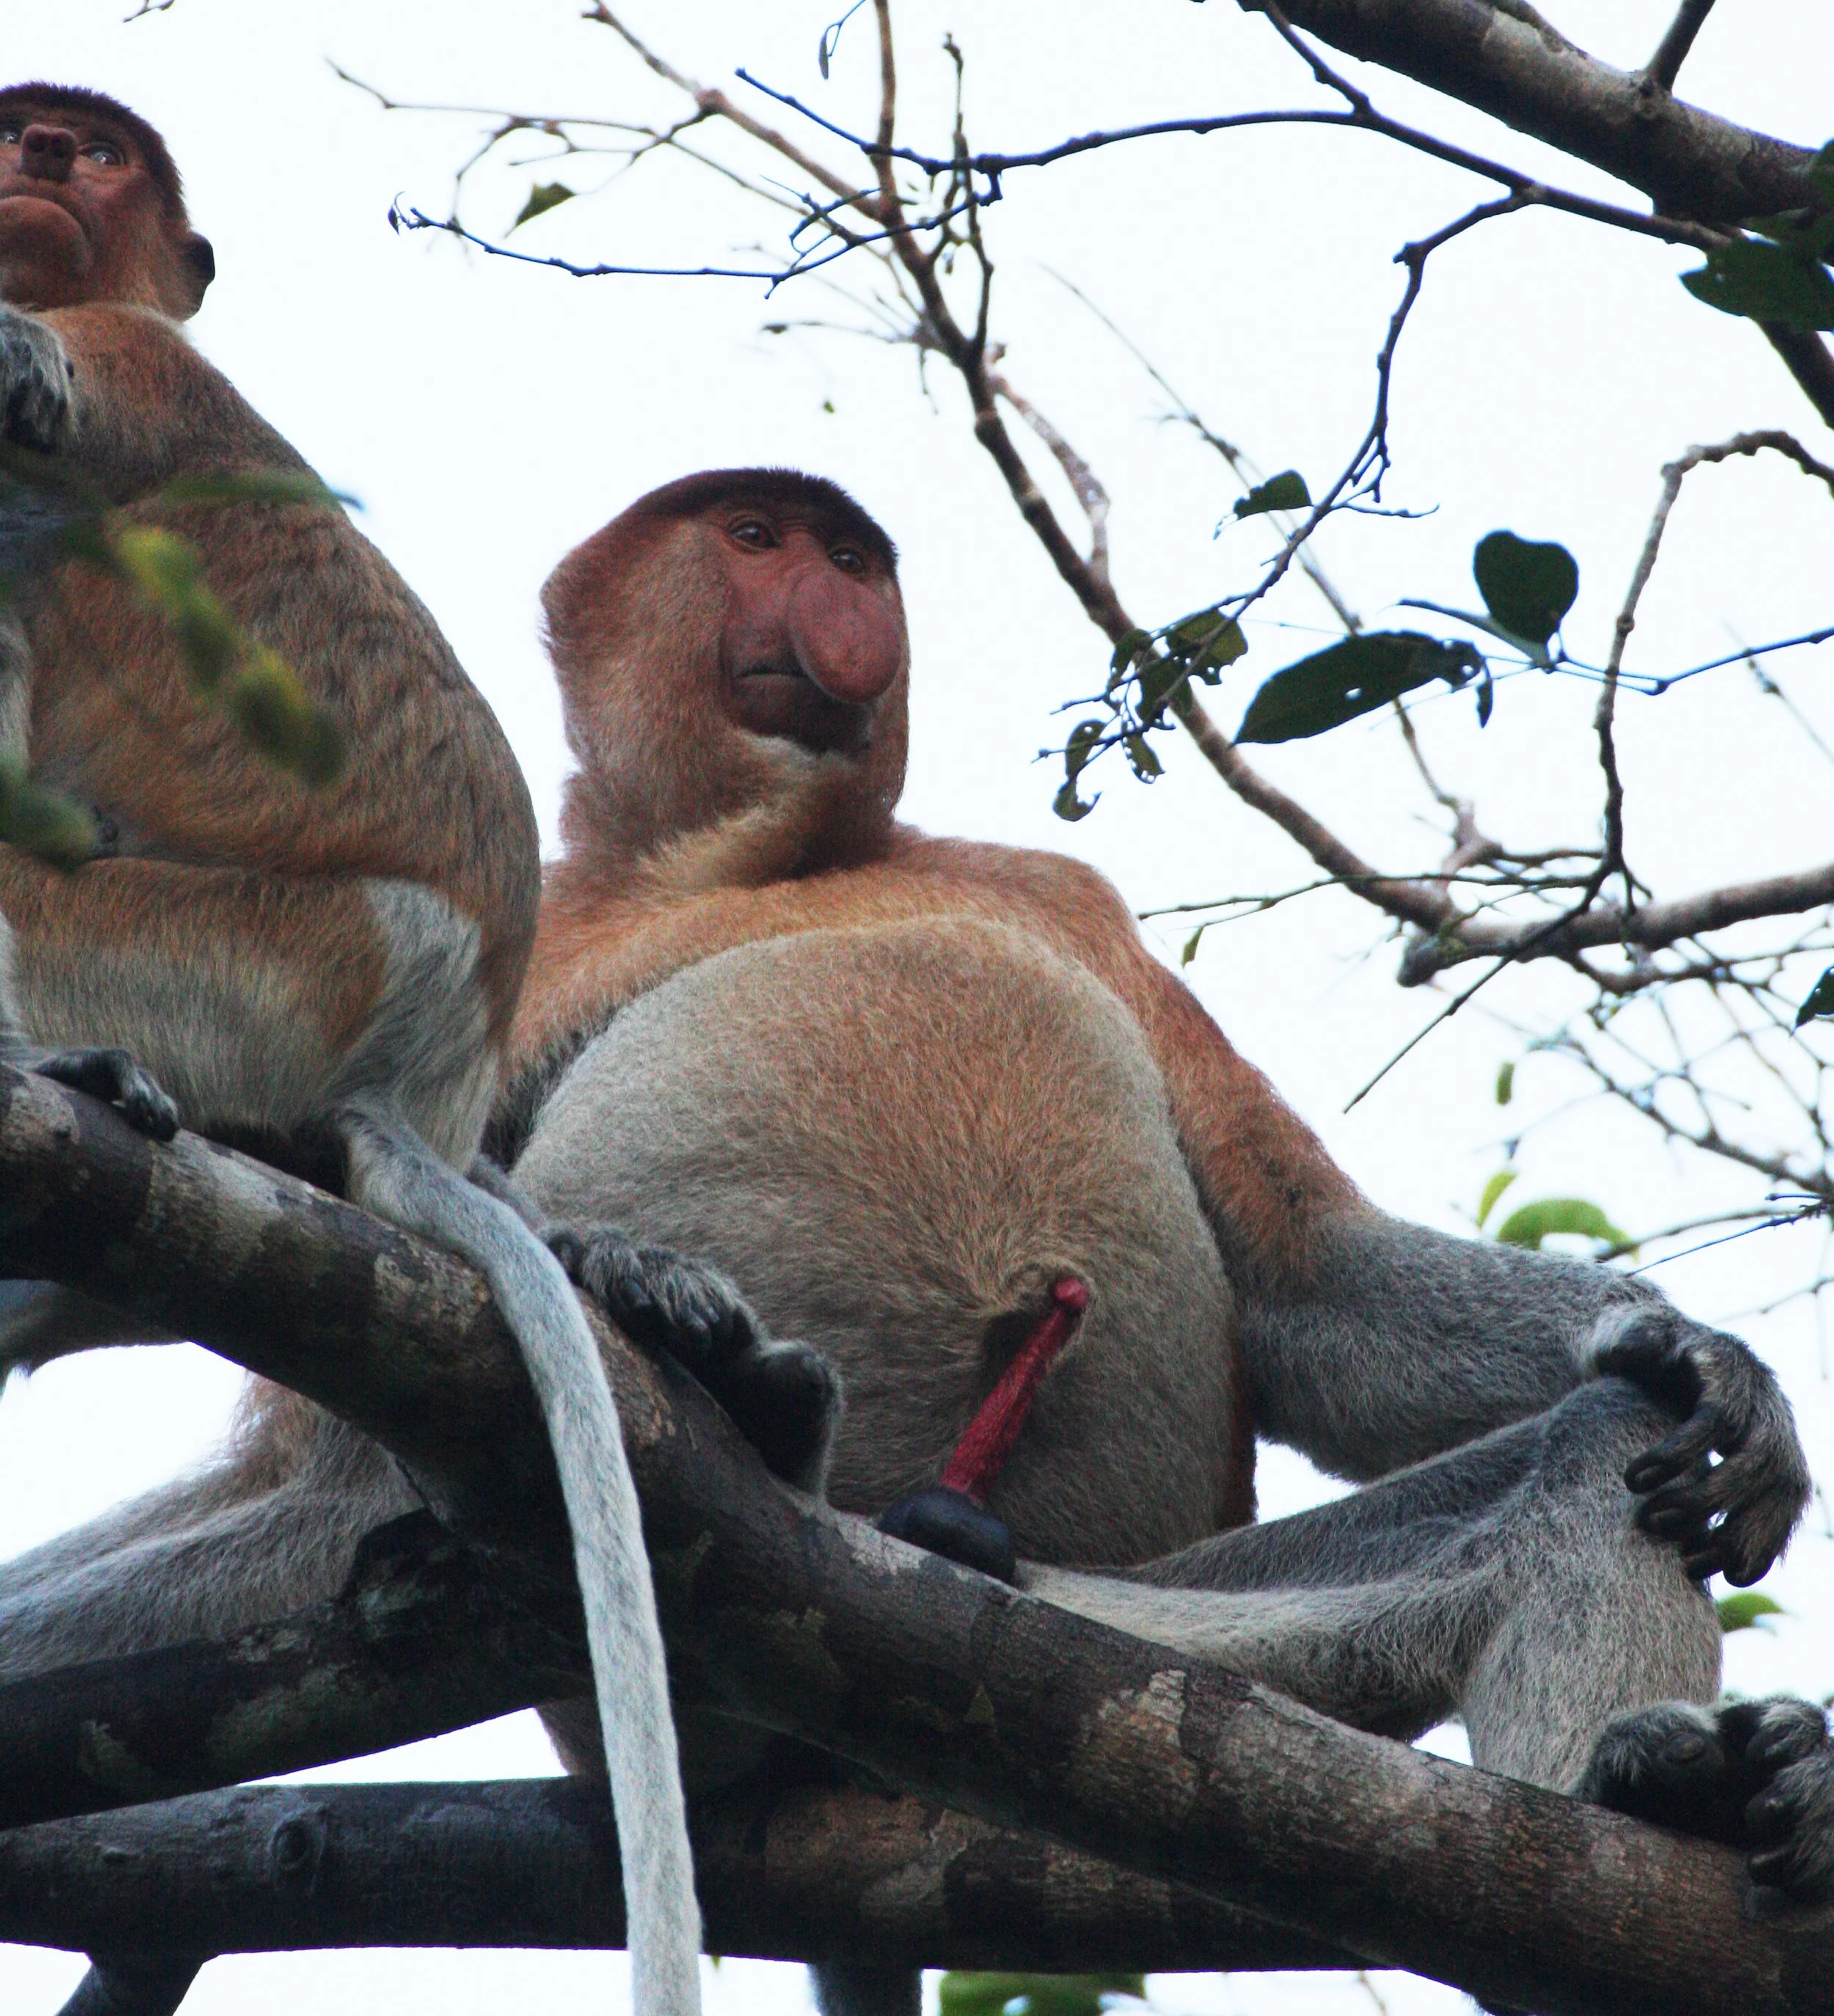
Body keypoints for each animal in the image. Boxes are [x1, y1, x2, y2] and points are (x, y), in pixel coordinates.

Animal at [0, 91, 834, 2016]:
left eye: (82, 152)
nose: (33, 165)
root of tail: (426, 1067)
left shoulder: (129, 368)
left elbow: (36, 394)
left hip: (238, 958)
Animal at [483, 468, 1810, 2013]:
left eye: (850, 558)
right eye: (753, 539)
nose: (840, 612)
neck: (742, 860)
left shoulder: (1063, 896)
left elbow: (1308, 1284)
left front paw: (1713, 1365)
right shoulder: (539, 938)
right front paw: (632, 1277)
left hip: (1107, 1640)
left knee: (1607, 1448)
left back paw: (1660, 1794)